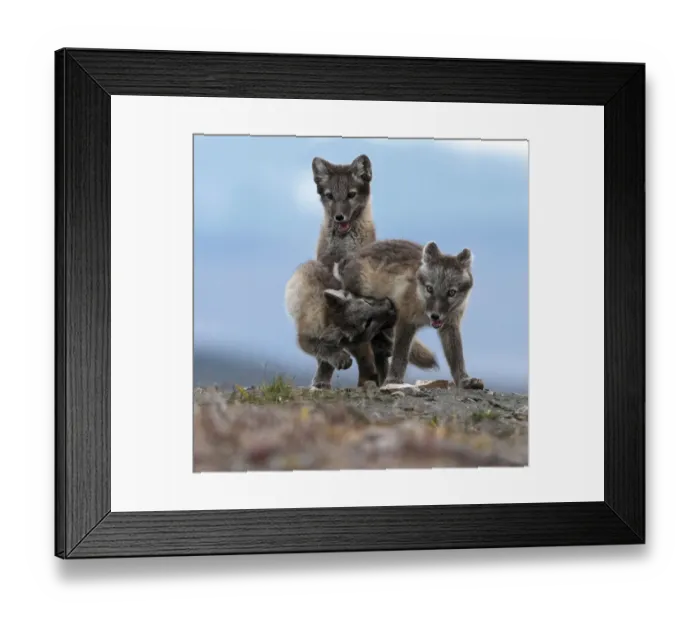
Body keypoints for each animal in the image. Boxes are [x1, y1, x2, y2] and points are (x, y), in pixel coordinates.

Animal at [284, 259, 397, 389]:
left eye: (367, 303)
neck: (326, 314)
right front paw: (324, 377)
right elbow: (323, 350)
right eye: (367, 323)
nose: (391, 307)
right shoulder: (305, 339)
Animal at [334, 239, 485, 390]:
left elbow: (456, 357)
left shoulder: (450, 325)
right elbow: (400, 355)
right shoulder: (405, 321)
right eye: (430, 289)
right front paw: (394, 380)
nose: (435, 316)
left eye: (451, 292)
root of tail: (347, 259)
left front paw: (464, 380)